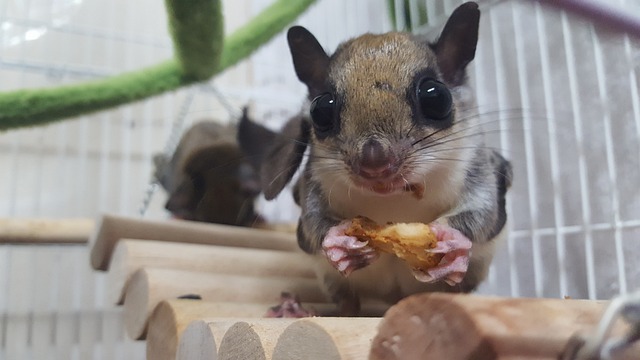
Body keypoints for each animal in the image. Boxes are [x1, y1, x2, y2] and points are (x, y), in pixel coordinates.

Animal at [239, 1, 510, 314]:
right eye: (320, 109)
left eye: (436, 97)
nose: (374, 164)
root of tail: (394, 299)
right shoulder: (313, 182)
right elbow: (313, 220)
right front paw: (337, 239)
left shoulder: (479, 168)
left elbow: (483, 211)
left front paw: (451, 239)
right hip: (333, 280)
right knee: (347, 305)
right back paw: (295, 309)